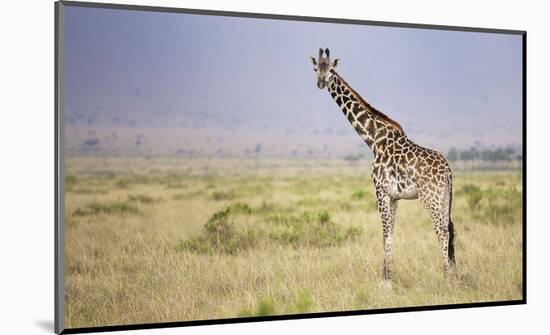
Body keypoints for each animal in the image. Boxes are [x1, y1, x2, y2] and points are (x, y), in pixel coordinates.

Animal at [310, 48, 458, 284]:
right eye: (316, 69)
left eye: (331, 70)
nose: (321, 82)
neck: (373, 139)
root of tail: (448, 171)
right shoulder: (395, 196)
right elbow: (391, 234)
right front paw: (388, 275)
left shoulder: (379, 189)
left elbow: (385, 234)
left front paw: (386, 280)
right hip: (445, 197)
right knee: (450, 228)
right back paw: (453, 273)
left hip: (430, 197)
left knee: (442, 231)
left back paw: (445, 276)